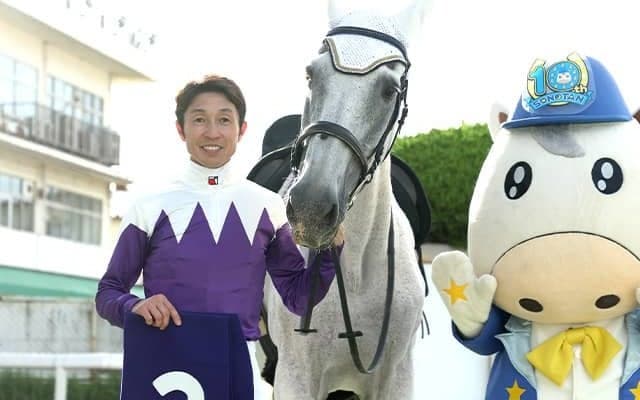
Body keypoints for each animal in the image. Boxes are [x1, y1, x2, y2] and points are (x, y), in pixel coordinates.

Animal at [259, 1, 431, 398]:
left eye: (390, 90)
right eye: (311, 75)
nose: (310, 209)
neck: (355, 274)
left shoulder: (397, 378)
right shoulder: (295, 379)